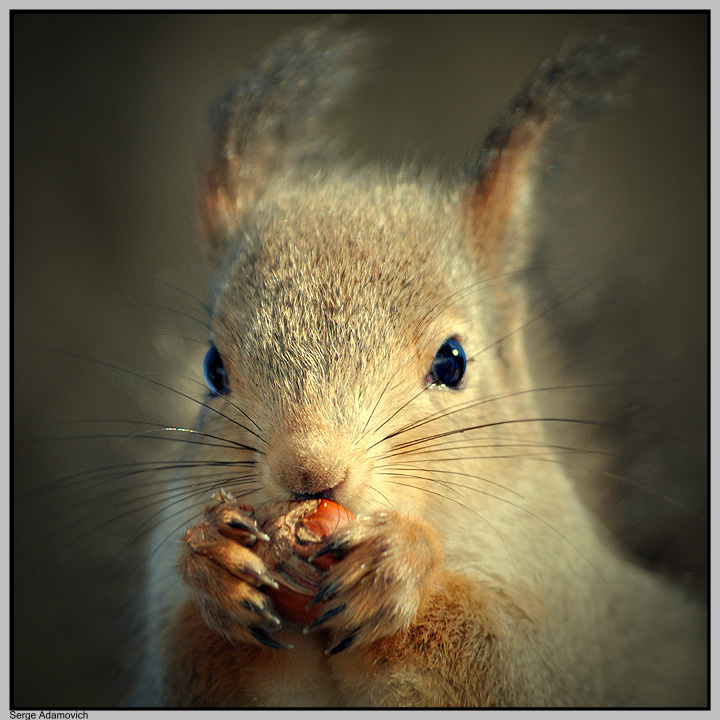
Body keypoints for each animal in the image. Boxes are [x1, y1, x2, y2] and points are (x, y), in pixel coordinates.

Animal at [136, 22, 707, 707]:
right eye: (213, 368)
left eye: (453, 362)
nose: (309, 471)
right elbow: (187, 658)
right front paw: (214, 564)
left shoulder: (582, 623)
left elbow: (502, 653)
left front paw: (401, 567)